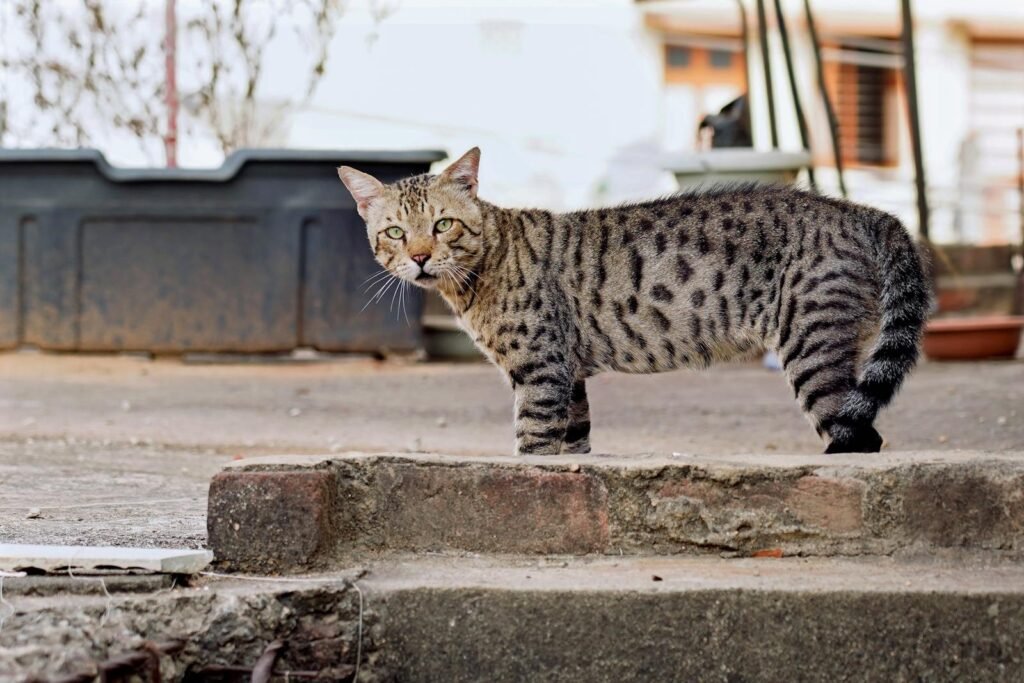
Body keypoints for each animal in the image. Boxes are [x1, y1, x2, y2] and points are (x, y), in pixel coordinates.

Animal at [339, 150, 933, 458]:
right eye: (395, 232)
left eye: (442, 225)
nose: (419, 257)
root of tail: (860, 210)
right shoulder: (568, 373)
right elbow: (574, 441)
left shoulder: (540, 368)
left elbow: (532, 442)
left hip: (812, 348)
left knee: (860, 435)